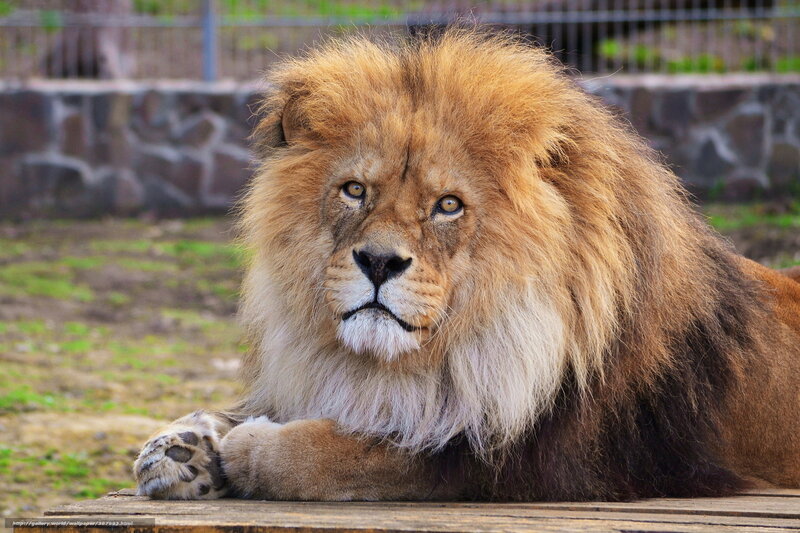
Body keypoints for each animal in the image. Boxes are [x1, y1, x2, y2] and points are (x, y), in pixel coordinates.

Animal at [133, 29, 800, 501]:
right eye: (354, 191)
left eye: (448, 205)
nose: (378, 261)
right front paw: (183, 447)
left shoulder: (525, 459)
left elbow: (349, 454)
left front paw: (247, 448)